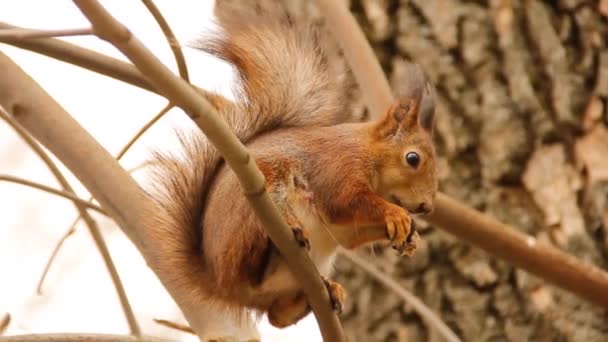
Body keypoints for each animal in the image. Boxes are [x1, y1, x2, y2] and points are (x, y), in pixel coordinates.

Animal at [148, 0, 436, 332]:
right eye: (412, 158)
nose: (427, 207)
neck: (367, 152)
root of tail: (219, 283)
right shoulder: (337, 169)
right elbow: (345, 201)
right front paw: (396, 214)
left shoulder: (344, 227)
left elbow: (349, 235)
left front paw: (411, 236)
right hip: (256, 204)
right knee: (252, 265)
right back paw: (277, 248)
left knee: (276, 317)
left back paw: (324, 291)